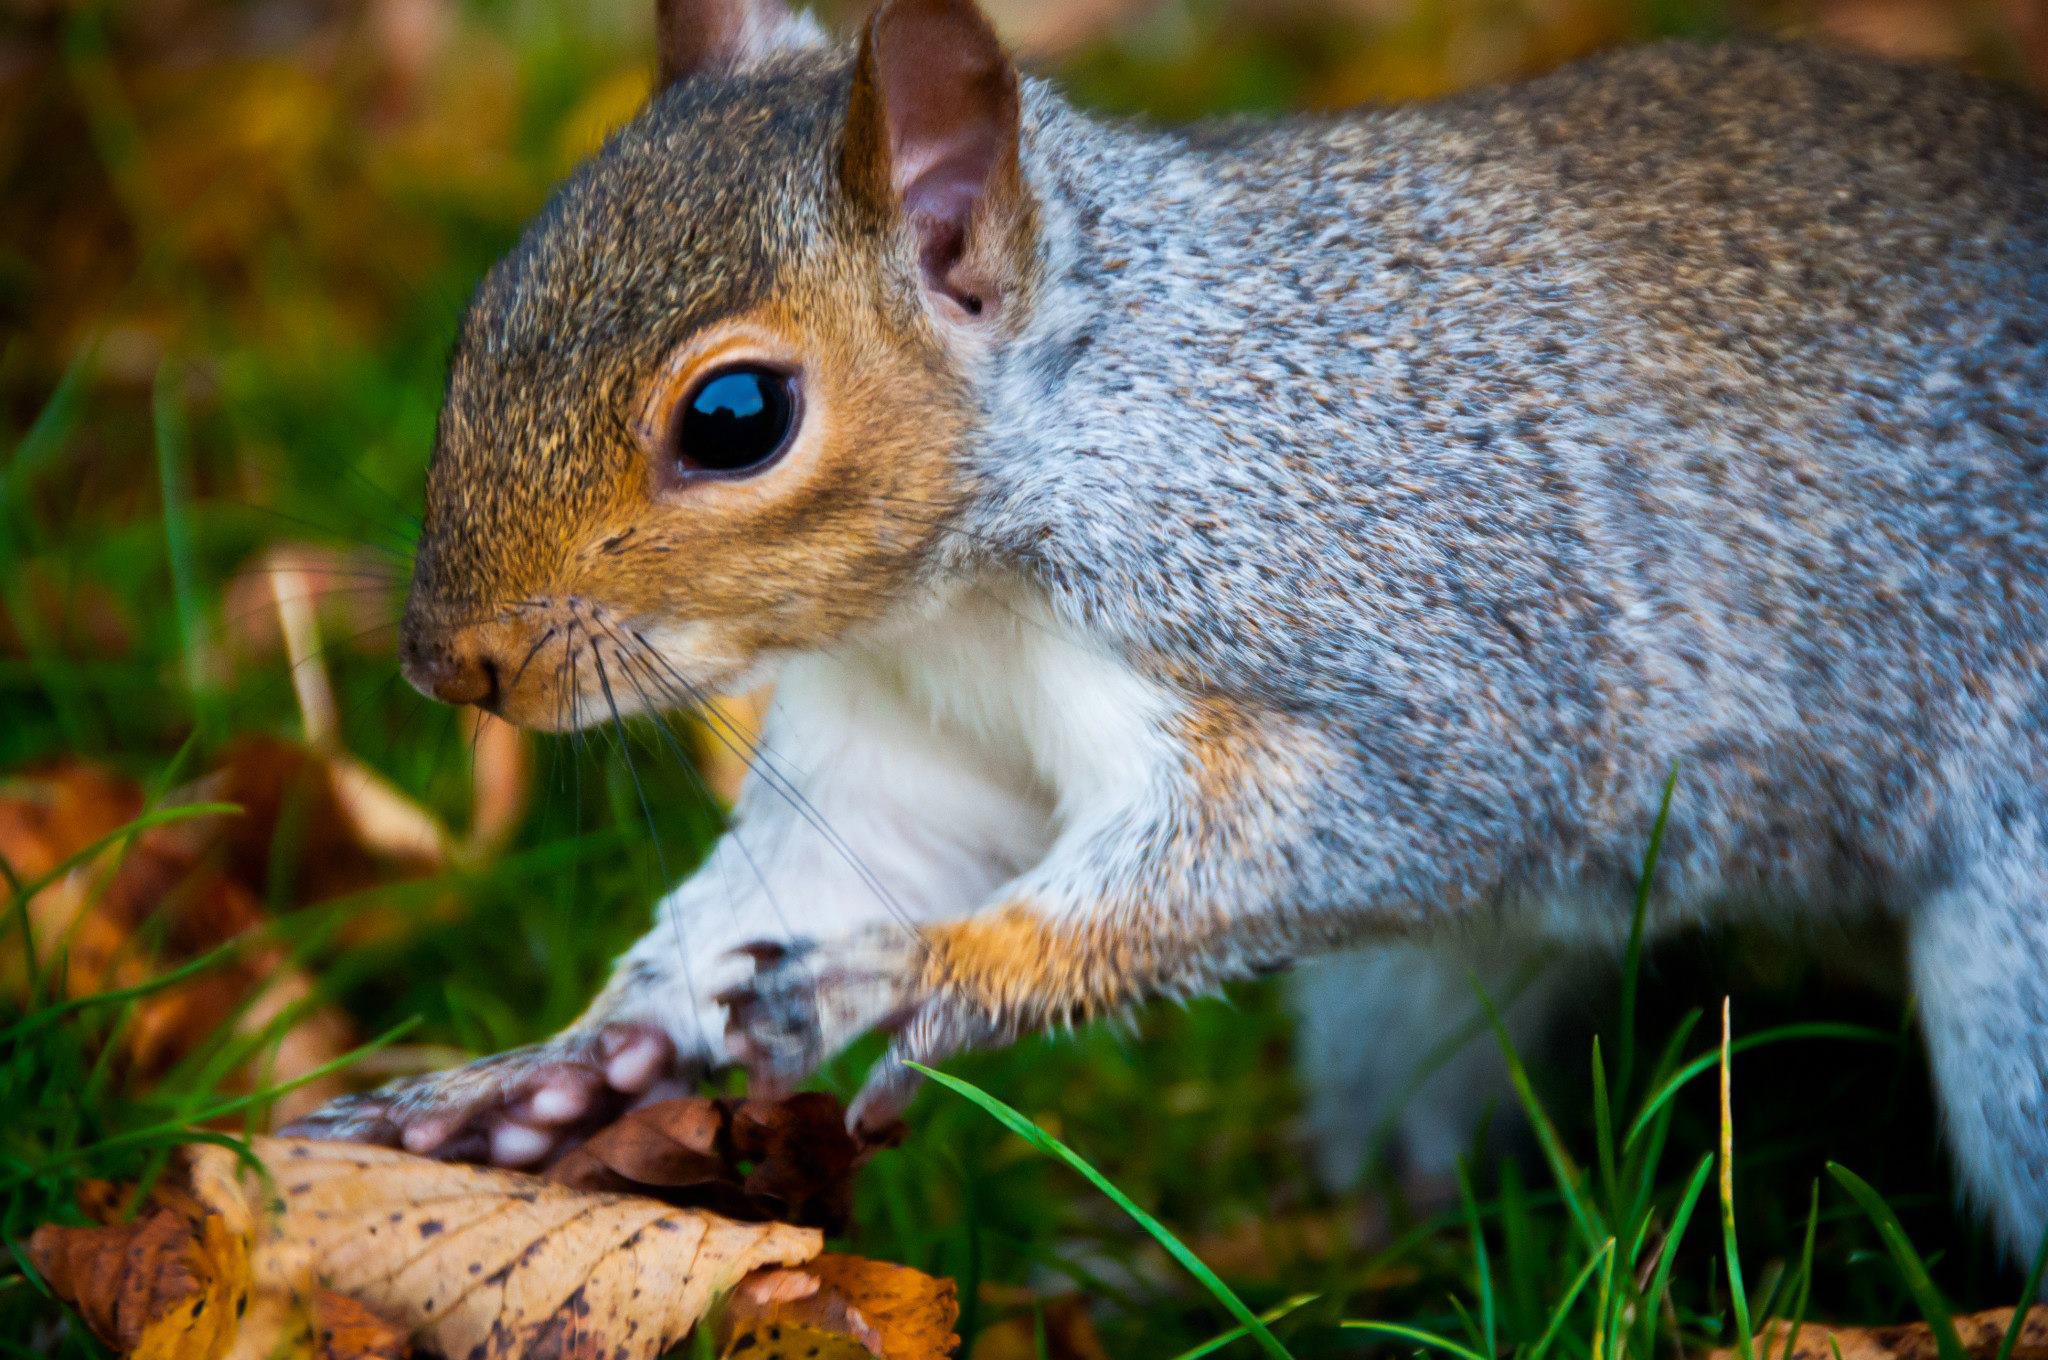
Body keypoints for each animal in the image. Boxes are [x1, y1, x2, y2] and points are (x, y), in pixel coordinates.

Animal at [284, 0, 2048, 1261]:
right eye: (485, 311)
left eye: (735, 417)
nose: (448, 663)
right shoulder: (908, 744)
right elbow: (838, 867)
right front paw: (578, 1063)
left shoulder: (1415, 636)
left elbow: (1384, 815)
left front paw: (934, 972)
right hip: (1403, 1009)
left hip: (2017, 973)